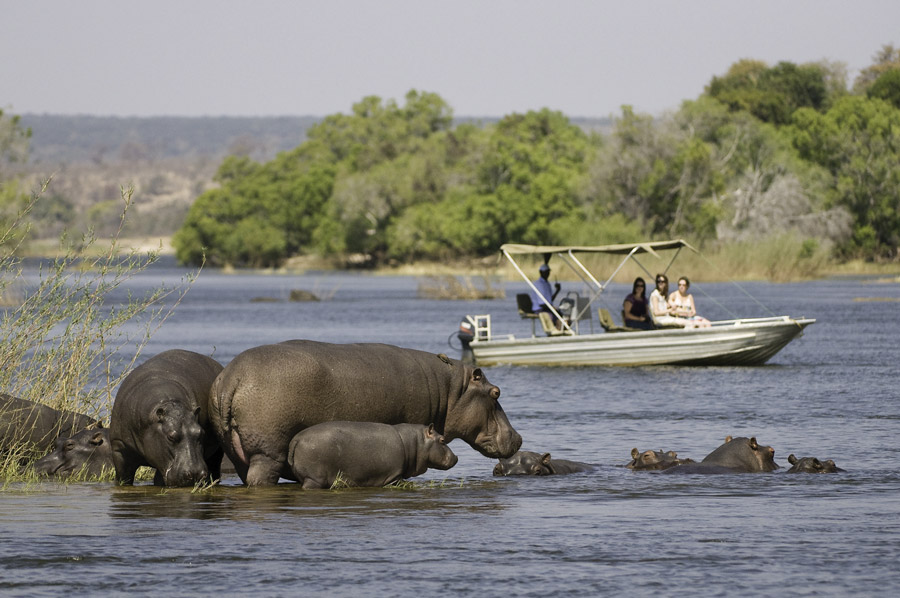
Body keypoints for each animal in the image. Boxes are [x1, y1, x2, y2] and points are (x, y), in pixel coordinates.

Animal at [107, 352, 225, 488]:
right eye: (171, 437)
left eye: (201, 433)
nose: (195, 474)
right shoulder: (119, 447)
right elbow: (123, 477)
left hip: (217, 452)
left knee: (215, 467)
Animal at [288, 422, 458, 492]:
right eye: (442, 440)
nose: (456, 457)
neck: (415, 443)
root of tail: (296, 439)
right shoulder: (394, 475)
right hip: (314, 479)